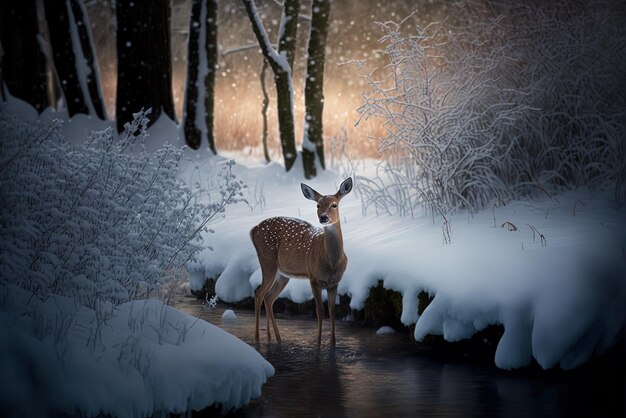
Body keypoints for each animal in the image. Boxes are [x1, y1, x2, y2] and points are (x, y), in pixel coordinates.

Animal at [251, 177, 354, 346]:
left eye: (334, 204)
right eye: (318, 205)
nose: (323, 217)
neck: (332, 262)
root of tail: (253, 230)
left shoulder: (334, 283)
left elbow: (332, 311)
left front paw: (333, 343)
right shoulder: (314, 278)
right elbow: (320, 310)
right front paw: (318, 344)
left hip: (283, 274)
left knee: (269, 297)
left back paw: (276, 339)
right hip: (267, 261)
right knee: (259, 293)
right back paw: (258, 339)